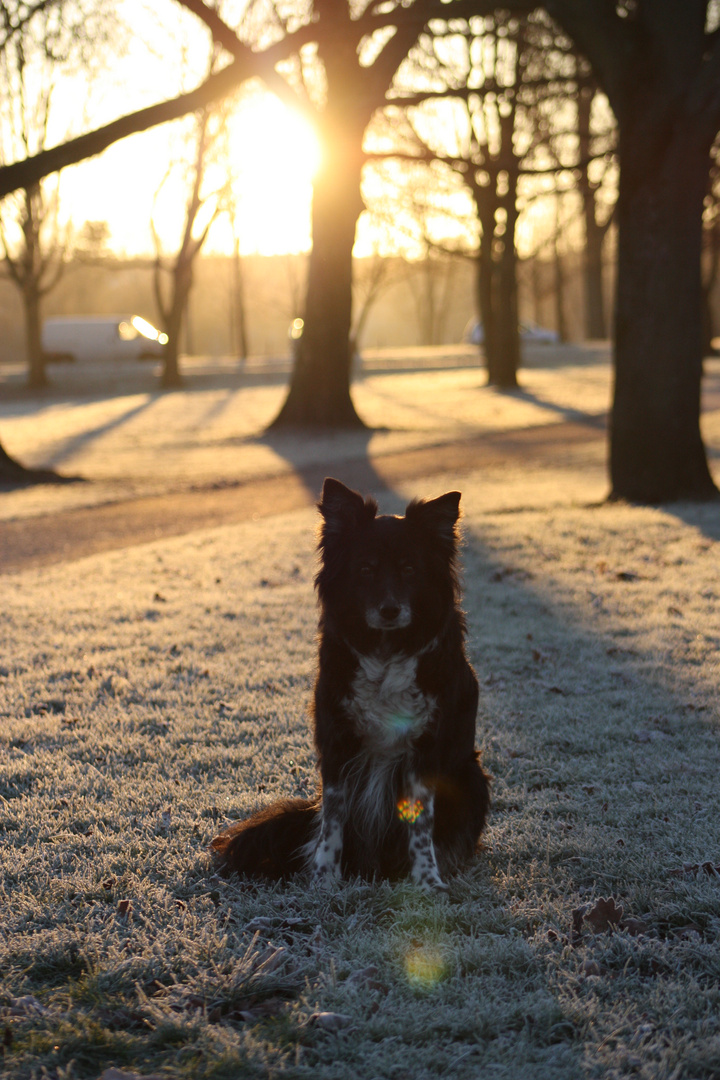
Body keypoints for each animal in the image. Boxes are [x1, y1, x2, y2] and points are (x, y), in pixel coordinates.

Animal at [208, 477, 490, 889]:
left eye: (410, 568)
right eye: (366, 569)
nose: (390, 610)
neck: (385, 649)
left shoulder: (426, 748)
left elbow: (421, 826)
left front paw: (427, 881)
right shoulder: (337, 742)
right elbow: (332, 822)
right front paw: (324, 881)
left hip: (472, 777)